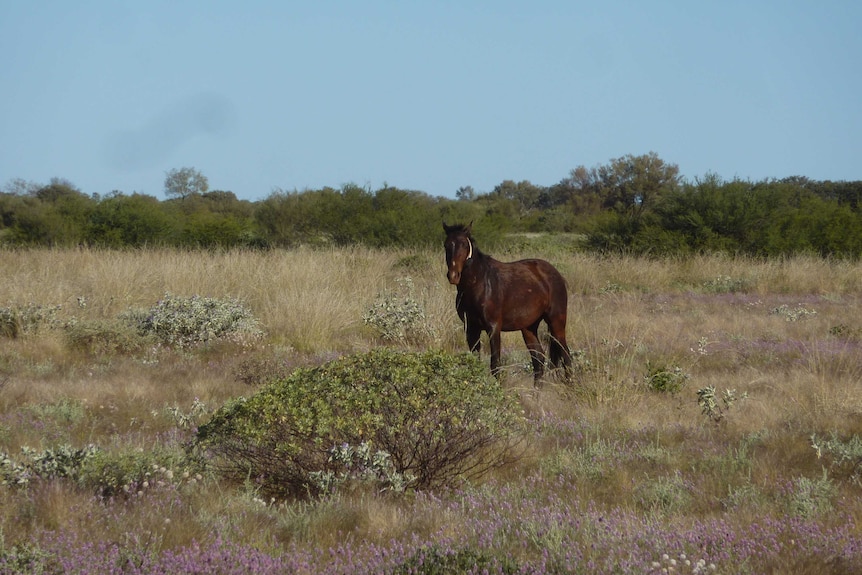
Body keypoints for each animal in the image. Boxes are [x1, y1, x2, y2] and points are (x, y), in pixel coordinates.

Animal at [446, 223, 572, 384]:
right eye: (446, 245)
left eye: (463, 244)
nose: (453, 276)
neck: (480, 284)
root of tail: (556, 275)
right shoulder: (471, 329)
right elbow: (474, 363)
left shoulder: (493, 328)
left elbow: (495, 365)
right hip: (529, 328)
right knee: (538, 360)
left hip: (556, 323)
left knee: (566, 356)